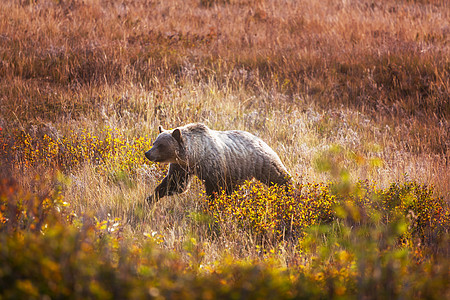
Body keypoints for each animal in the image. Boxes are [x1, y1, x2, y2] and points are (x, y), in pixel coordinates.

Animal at [145, 123, 292, 203]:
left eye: (161, 145)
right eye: (154, 143)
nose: (147, 153)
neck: (194, 155)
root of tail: (261, 140)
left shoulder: (213, 166)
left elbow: (215, 188)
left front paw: (213, 204)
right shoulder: (182, 167)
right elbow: (176, 184)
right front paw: (151, 198)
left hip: (260, 162)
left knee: (278, 176)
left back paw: (290, 189)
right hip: (238, 171)